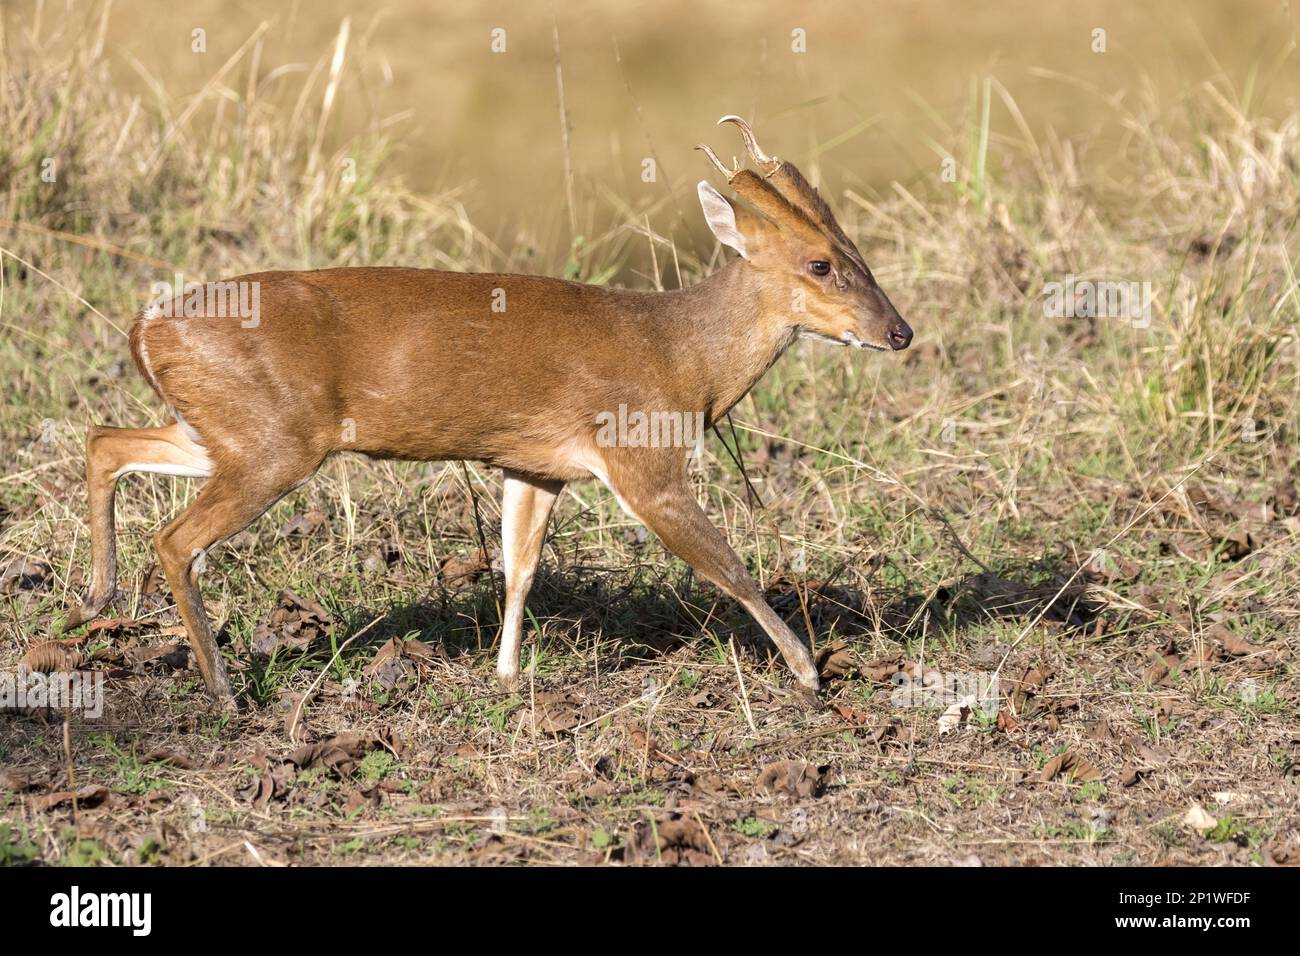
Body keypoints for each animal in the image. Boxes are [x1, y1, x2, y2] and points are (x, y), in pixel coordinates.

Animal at [63, 115, 915, 712]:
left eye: (858, 252)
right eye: (819, 263)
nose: (899, 332)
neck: (682, 359)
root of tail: (146, 324)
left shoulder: (533, 464)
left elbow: (519, 566)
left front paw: (505, 673)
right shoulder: (643, 456)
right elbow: (727, 566)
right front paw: (808, 673)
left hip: (226, 428)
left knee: (106, 440)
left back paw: (97, 598)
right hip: (274, 442)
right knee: (175, 538)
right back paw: (222, 689)